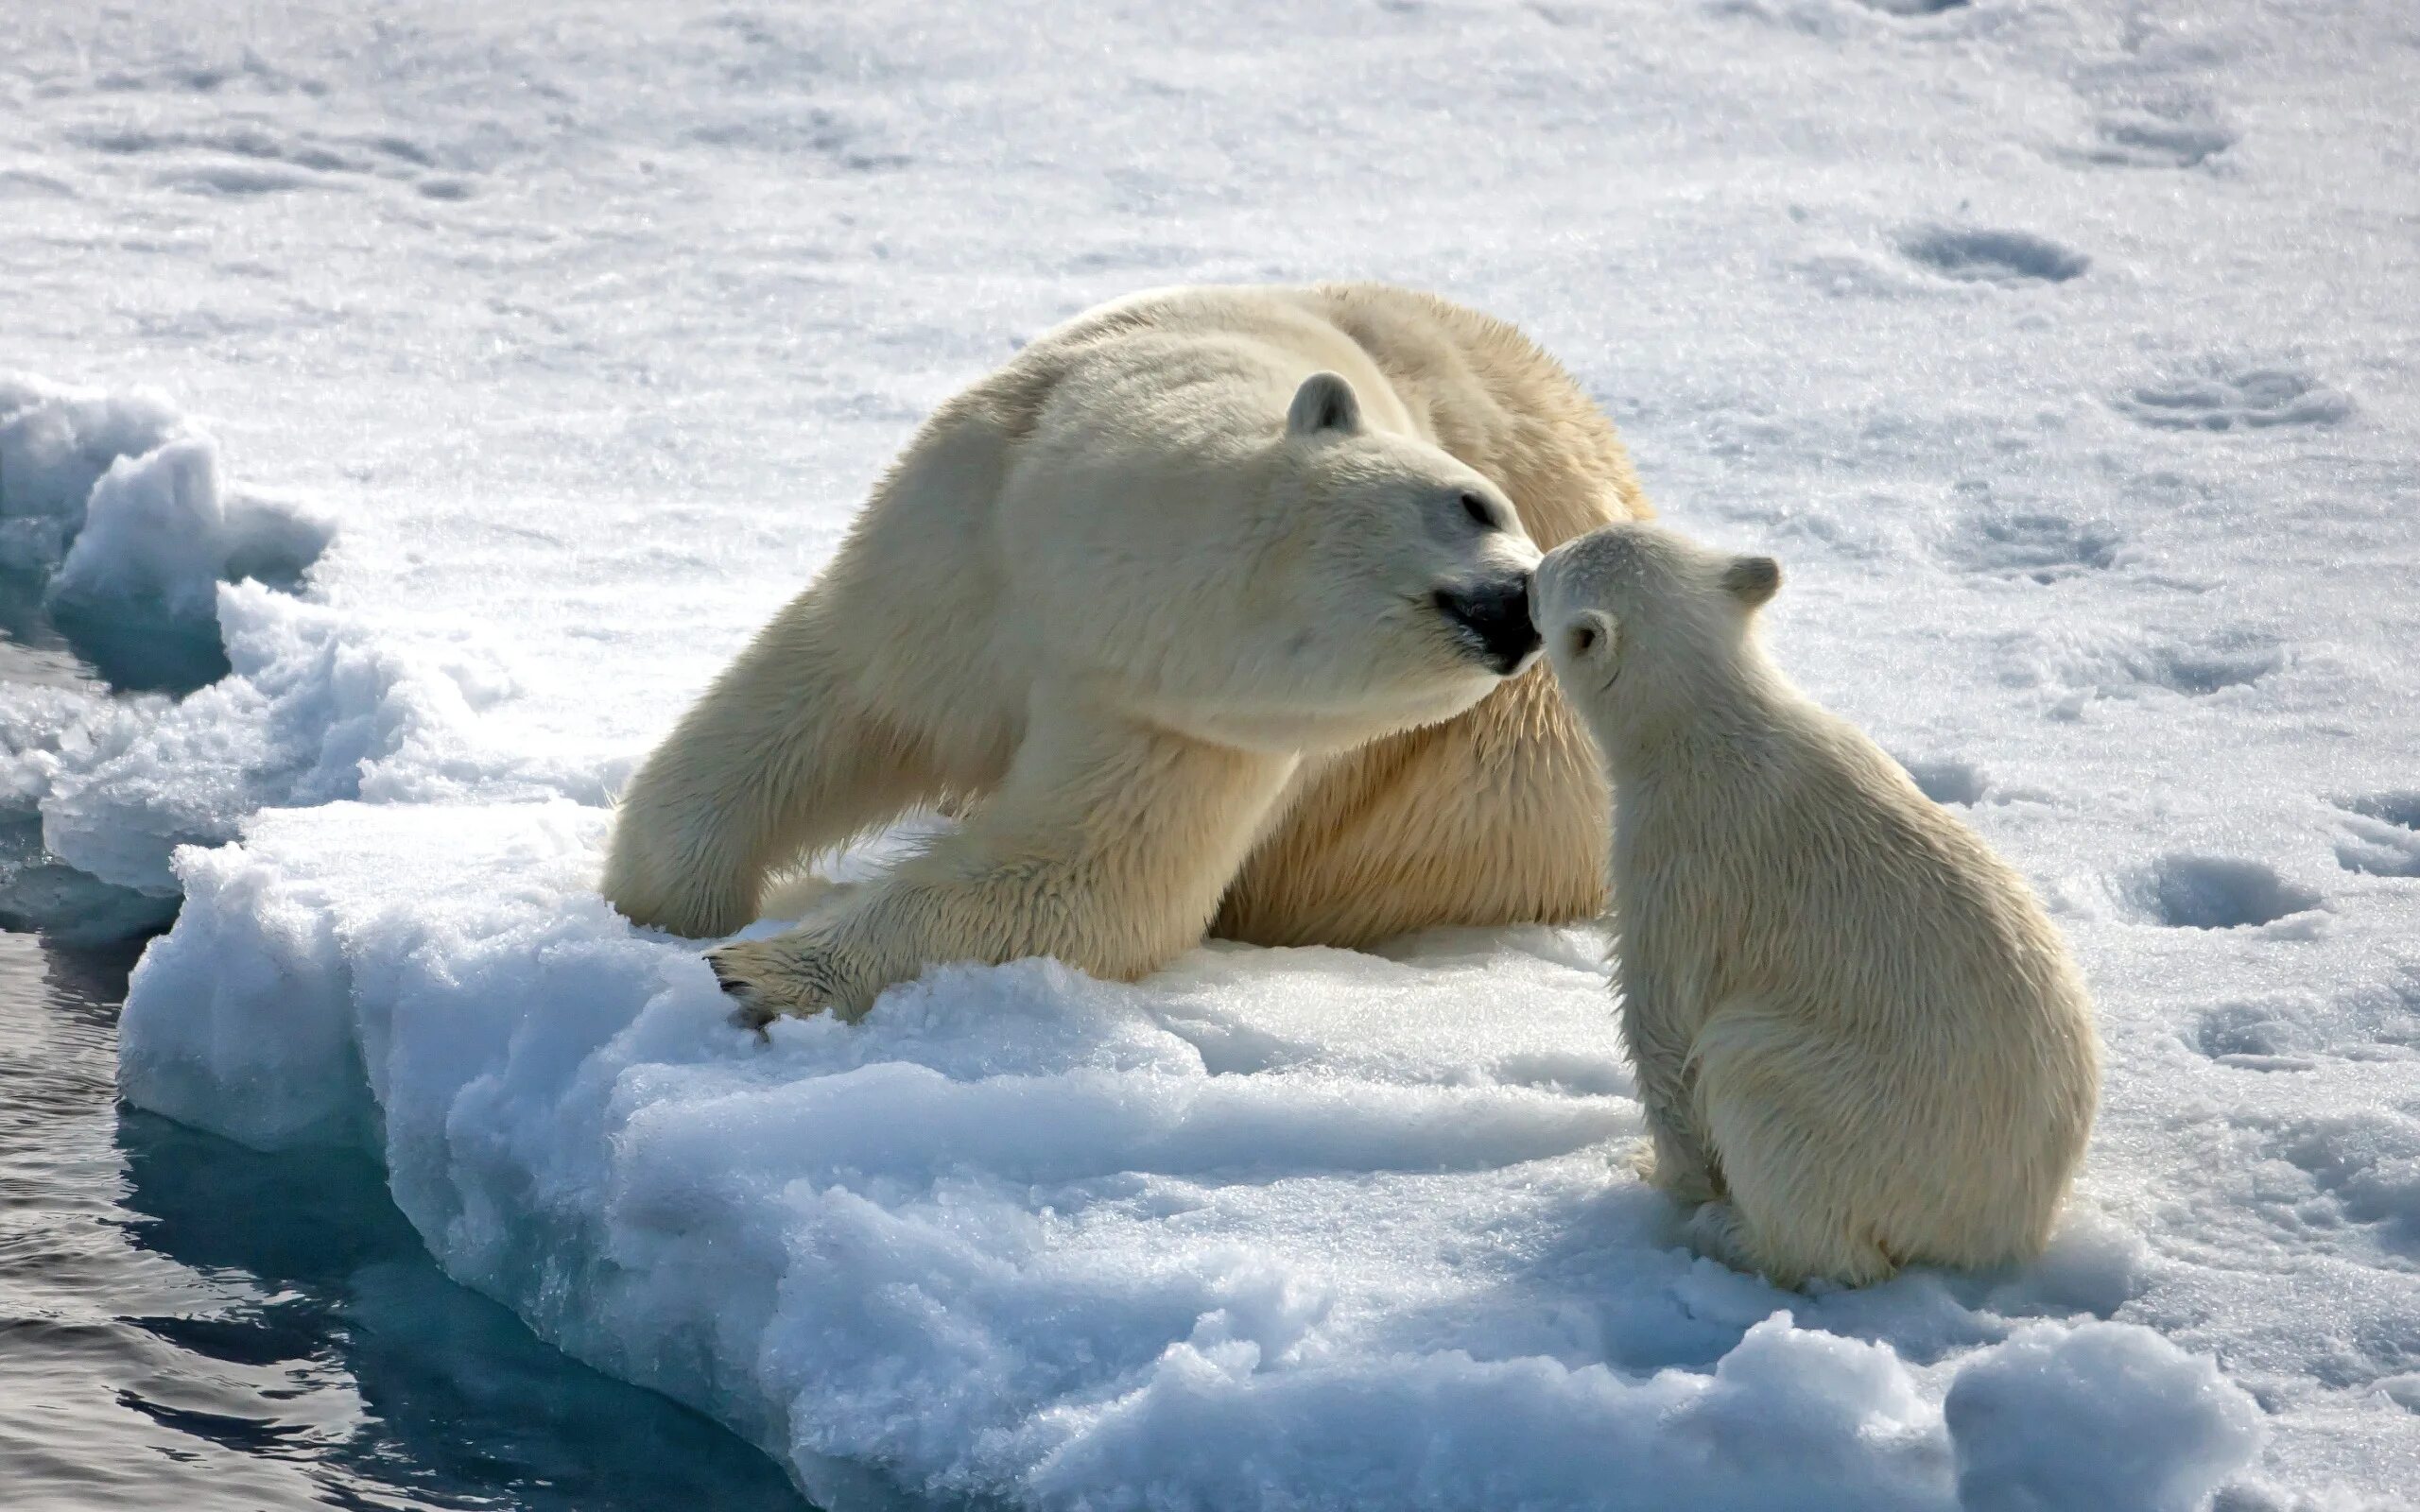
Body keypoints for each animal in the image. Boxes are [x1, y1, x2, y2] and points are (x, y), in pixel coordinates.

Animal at [614, 283, 1655, 1016]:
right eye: (1473, 502)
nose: (1522, 610)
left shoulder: (1179, 724)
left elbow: (1085, 878)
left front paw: (761, 967)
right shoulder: (964, 543)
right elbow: (832, 704)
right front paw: (664, 911)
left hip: (1500, 795)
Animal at [1548, 522, 2100, 1286]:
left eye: (1549, 573)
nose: (1527, 566)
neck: (1708, 723)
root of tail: (2006, 1231)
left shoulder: (1674, 860)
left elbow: (1663, 1026)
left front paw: (1662, 1175)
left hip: (1861, 1116)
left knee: (1757, 1082)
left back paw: (1733, 1233)